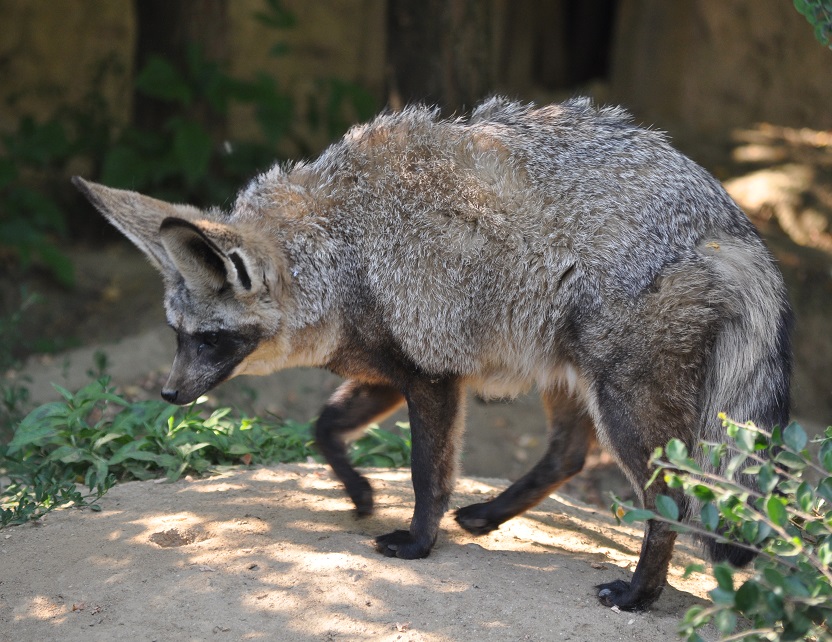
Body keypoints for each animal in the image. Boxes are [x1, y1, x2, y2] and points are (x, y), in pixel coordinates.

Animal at [73, 96, 792, 611]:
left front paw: (418, 543)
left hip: (620, 404)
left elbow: (427, 475)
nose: (168, 394)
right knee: (568, 455)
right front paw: (360, 493)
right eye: (176, 334)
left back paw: (640, 594)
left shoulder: (433, 376)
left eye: (209, 340)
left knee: (671, 497)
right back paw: (490, 515)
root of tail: (729, 216)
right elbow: (323, 428)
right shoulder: (384, 372)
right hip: (565, 375)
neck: (344, 255)